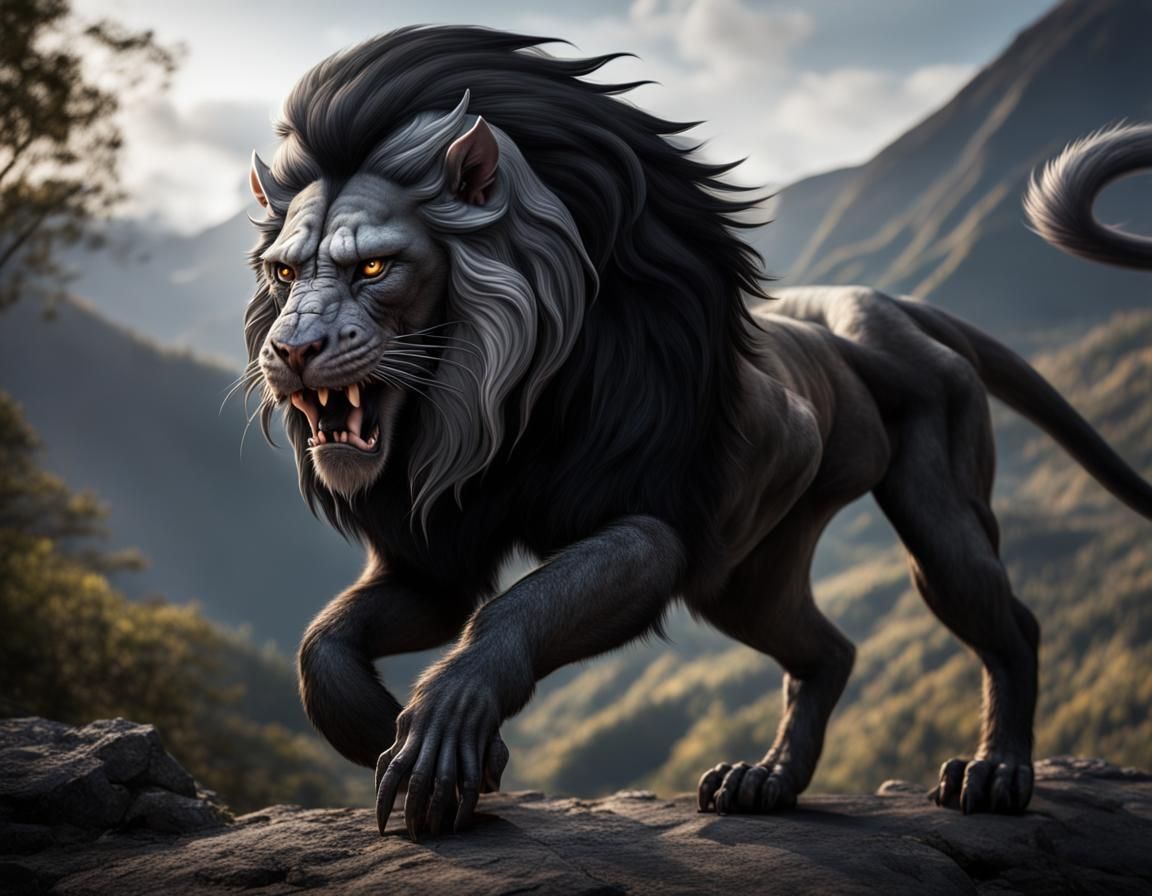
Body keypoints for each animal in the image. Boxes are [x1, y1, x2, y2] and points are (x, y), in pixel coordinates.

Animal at [242, 27, 1152, 839]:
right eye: (284, 270)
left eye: (373, 266)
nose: (290, 349)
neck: (489, 409)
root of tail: (881, 303)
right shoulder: (434, 561)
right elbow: (322, 648)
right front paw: (395, 738)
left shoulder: (648, 526)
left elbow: (516, 609)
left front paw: (446, 733)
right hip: (747, 575)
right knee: (828, 651)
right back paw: (766, 781)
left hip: (937, 516)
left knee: (1008, 624)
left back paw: (996, 773)